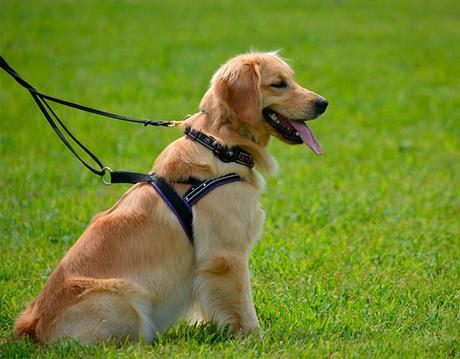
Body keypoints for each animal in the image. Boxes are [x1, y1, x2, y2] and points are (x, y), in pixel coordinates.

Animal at [15, 52, 328, 344]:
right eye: (279, 84)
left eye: (292, 79)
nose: (323, 103)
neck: (222, 145)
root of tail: (29, 326)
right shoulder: (226, 256)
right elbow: (244, 307)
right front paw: (257, 339)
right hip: (125, 300)